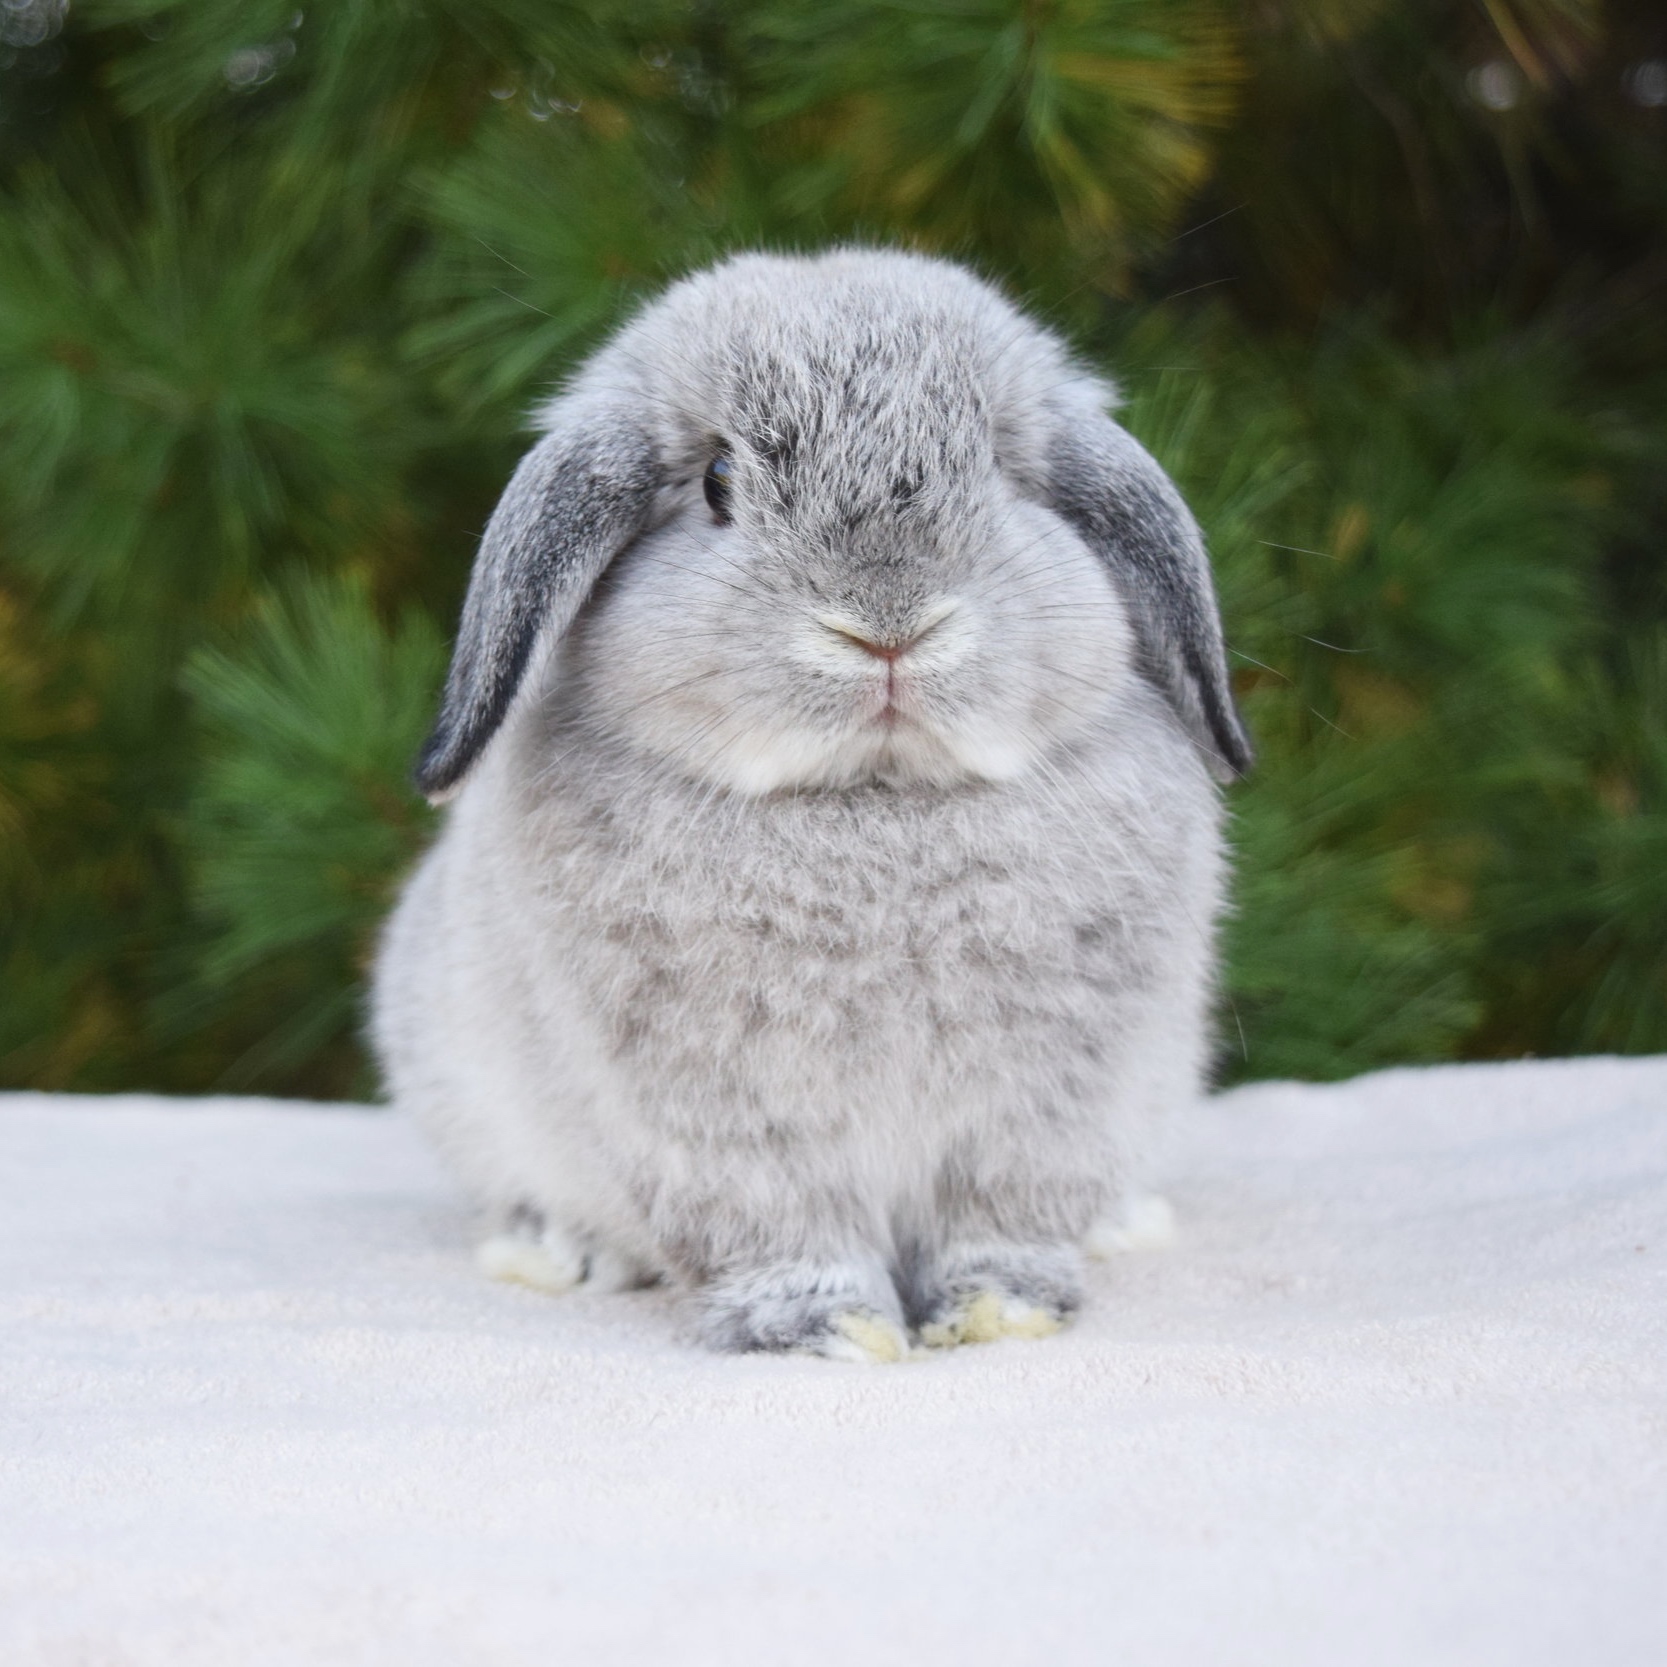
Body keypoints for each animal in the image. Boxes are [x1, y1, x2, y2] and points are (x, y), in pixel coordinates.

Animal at [368, 250, 1253, 1366]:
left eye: (999, 472)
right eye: (717, 482)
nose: (888, 625)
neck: (871, 804)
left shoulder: (1042, 1112)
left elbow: (1001, 1224)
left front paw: (997, 1315)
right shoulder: (729, 1129)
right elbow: (783, 1234)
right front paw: (831, 1331)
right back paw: (561, 1252)